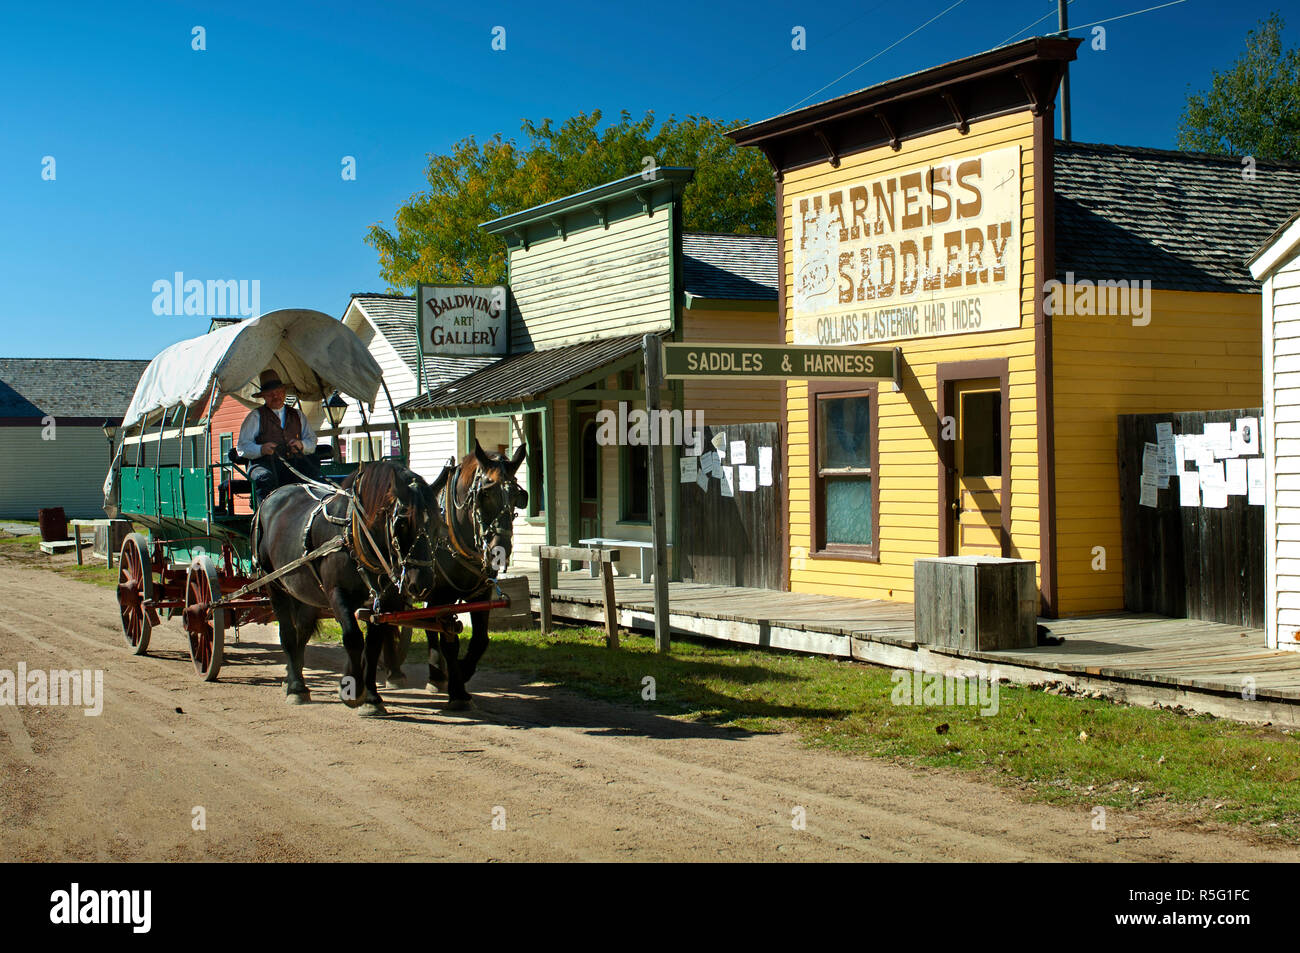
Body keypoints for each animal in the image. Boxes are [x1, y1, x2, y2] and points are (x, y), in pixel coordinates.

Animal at [250, 460, 439, 712]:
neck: (354, 535)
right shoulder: (337, 593)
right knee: (288, 633)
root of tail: (272, 496)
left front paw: (372, 698)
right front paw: (353, 690)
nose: (422, 582)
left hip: (307, 593)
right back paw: (296, 688)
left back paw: (293, 677)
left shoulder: (383, 600)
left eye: (437, 524)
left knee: (302, 631)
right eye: (401, 522)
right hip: (275, 585)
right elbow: (352, 637)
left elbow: (373, 645)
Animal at [408, 439, 525, 707]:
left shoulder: (481, 593)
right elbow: (449, 641)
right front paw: (458, 690)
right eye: (485, 494)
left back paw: (435, 674)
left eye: (517, 496)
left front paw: (461, 672)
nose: (499, 551)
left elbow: (480, 639)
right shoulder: (443, 597)